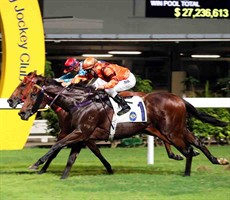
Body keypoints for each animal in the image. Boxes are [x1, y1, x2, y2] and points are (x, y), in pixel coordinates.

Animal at [18, 77, 230, 178]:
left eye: (30, 94)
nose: (21, 112)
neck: (78, 102)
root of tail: (179, 99)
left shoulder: (80, 132)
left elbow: (57, 146)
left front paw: (36, 165)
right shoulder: (81, 134)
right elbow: (70, 155)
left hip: (171, 131)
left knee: (188, 150)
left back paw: (187, 172)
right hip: (176, 128)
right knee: (197, 143)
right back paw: (217, 160)